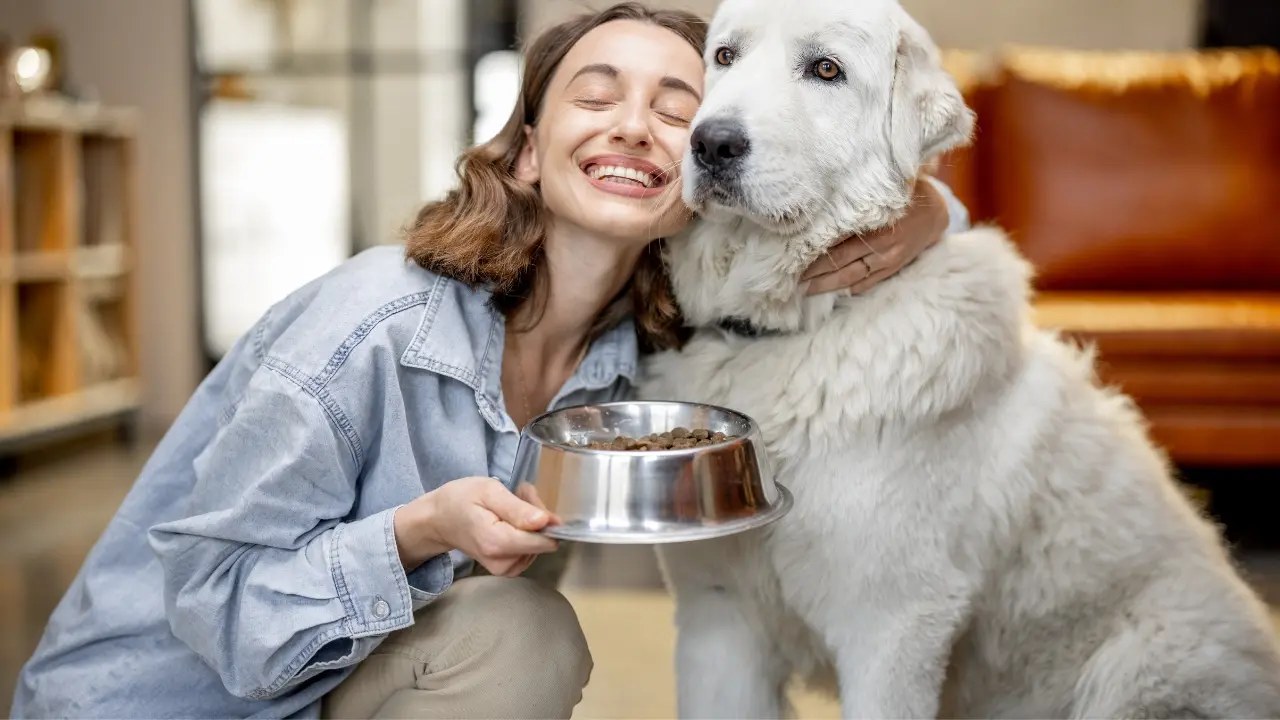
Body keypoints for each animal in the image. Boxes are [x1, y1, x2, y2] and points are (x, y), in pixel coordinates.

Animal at [645, 0, 1280, 712]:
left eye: (826, 69)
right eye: (724, 56)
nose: (711, 144)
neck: (797, 327)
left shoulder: (893, 626)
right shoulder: (720, 620)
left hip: (1140, 669)